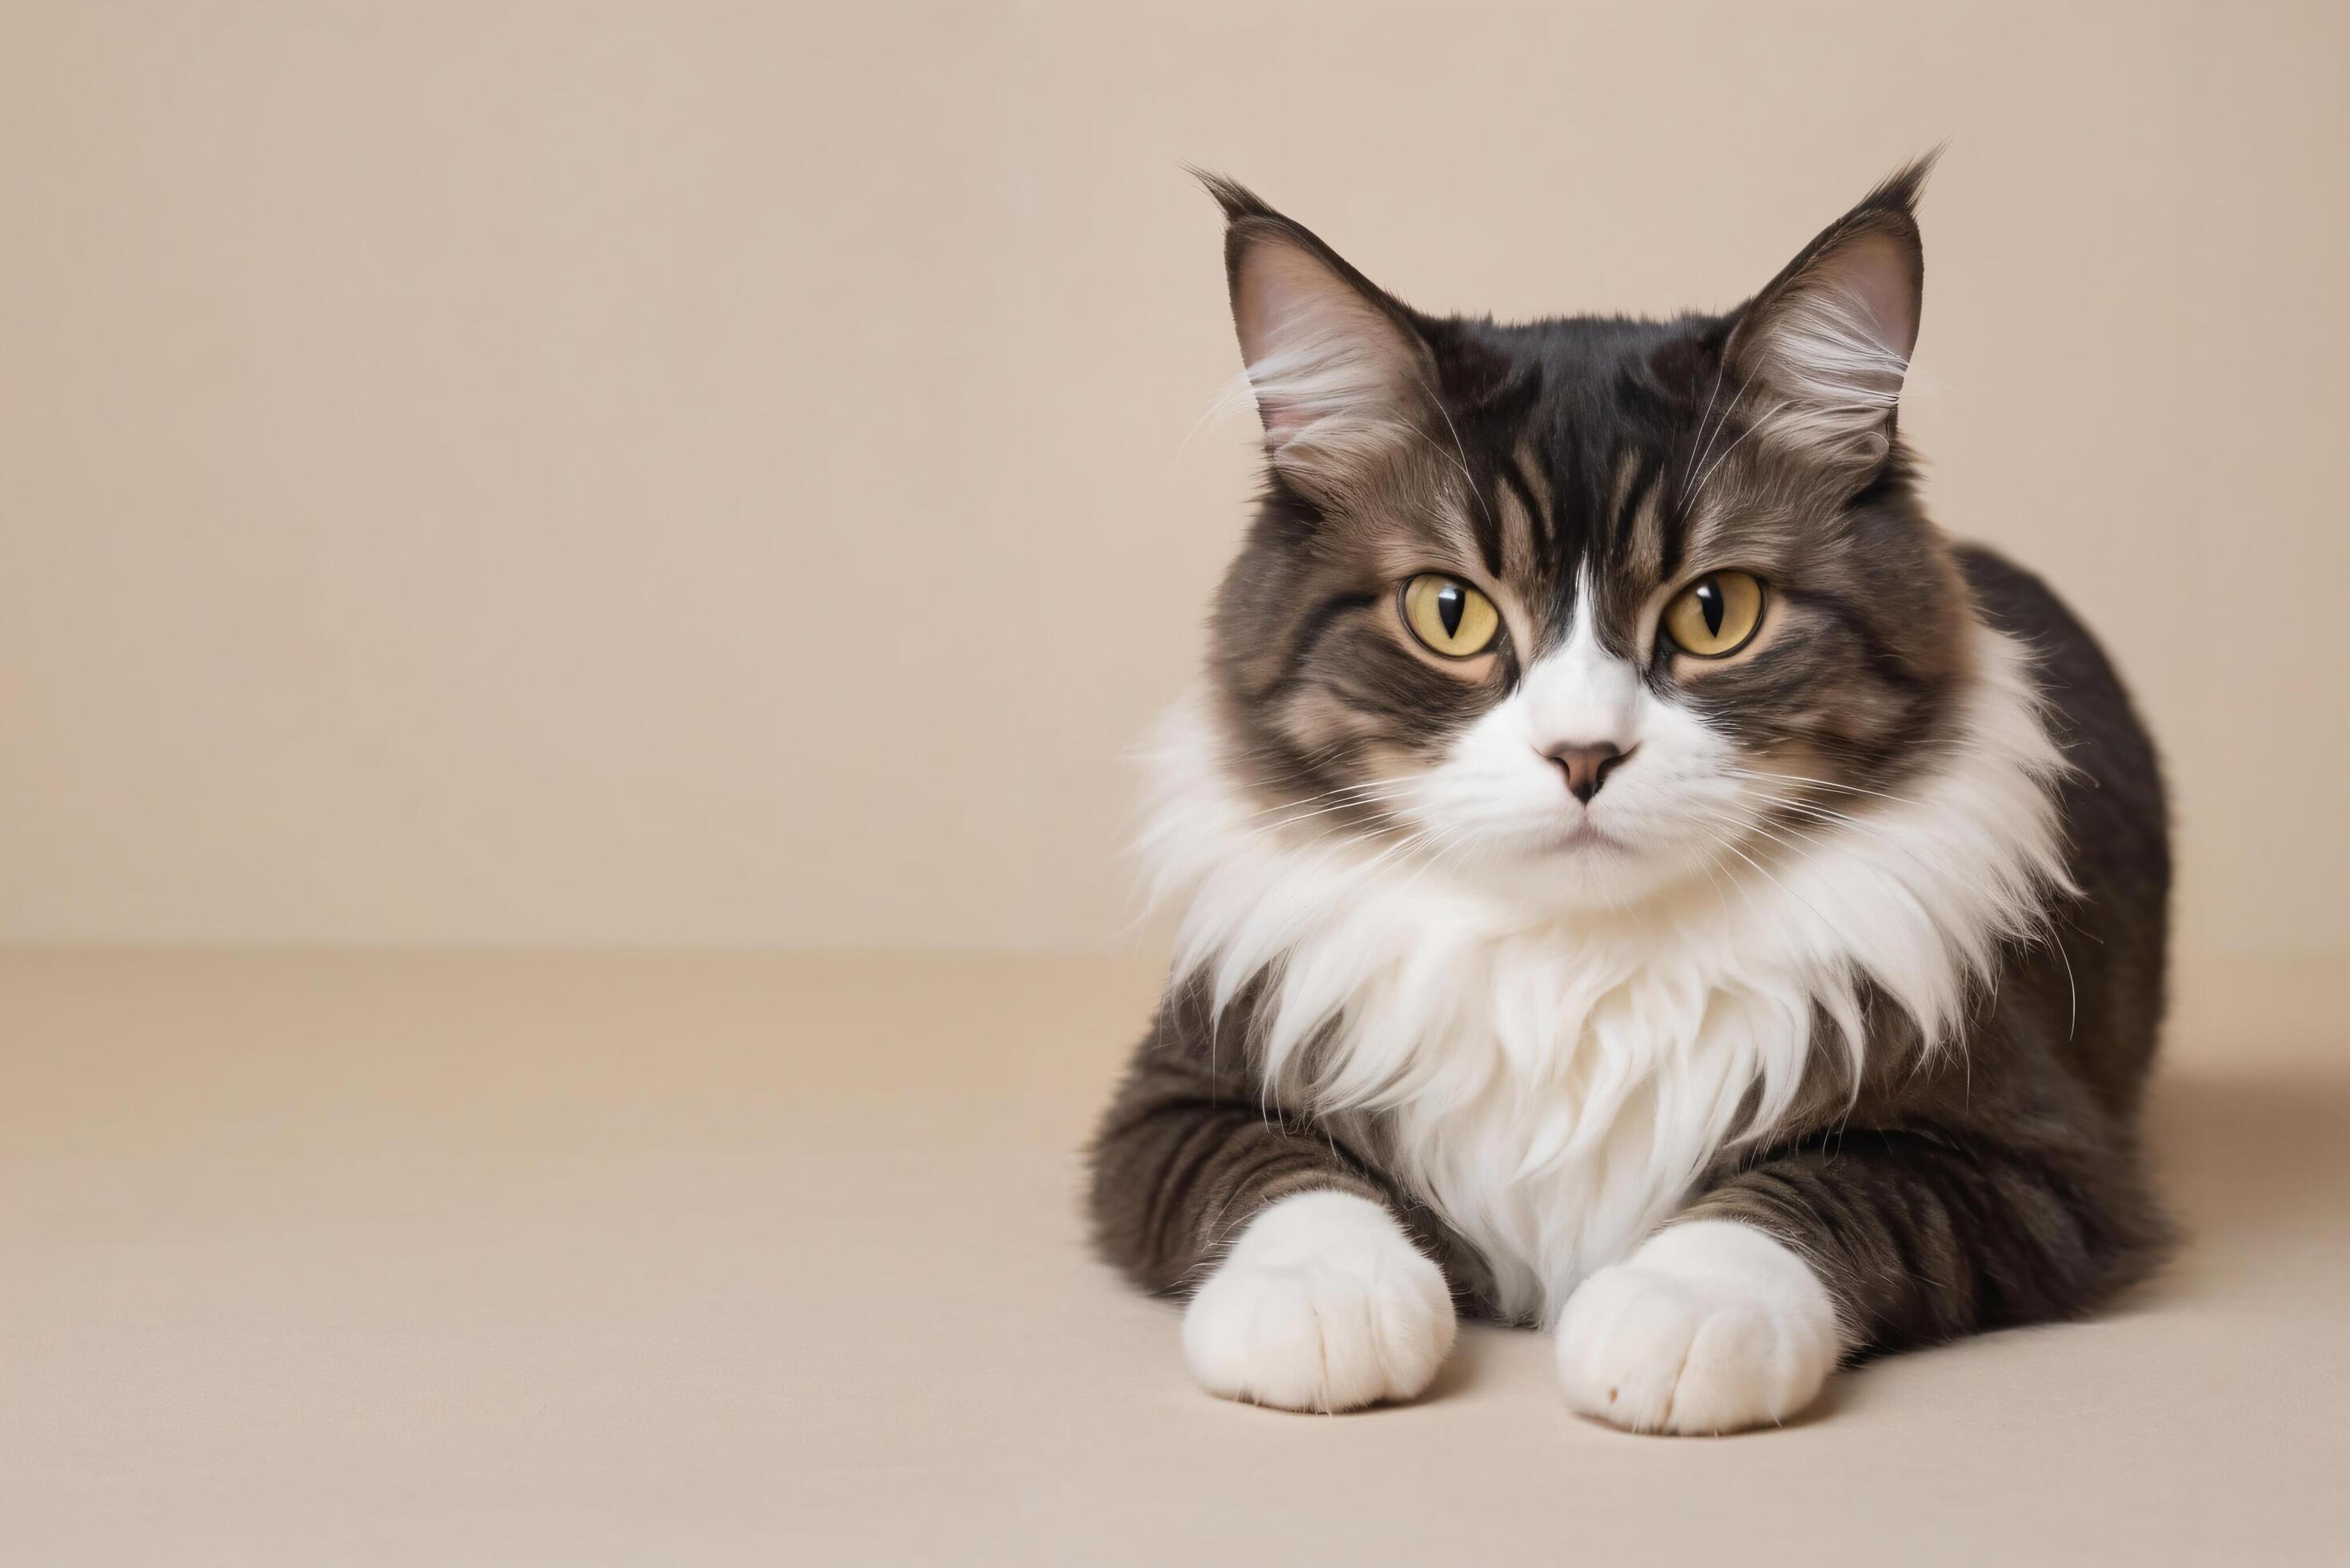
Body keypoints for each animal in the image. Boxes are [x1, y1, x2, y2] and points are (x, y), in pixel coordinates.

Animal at [1081, 159, 2162, 1438]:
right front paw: (1323, 1302)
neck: (1578, 967)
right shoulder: (1172, 1101)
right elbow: (1283, 1179)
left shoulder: (2031, 1161)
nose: (1584, 754)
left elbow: (1817, 1189)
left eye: (1716, 612)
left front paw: (1680, 1312)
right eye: (1451, 612)